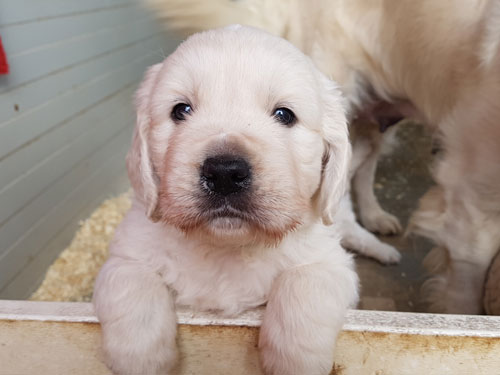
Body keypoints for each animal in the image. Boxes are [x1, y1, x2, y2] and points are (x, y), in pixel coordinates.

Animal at [93, 26, 360, 375]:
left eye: (284, 115)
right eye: (181, 110)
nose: (224, 173)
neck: (227, 248)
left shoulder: (331, 261)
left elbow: (303, 284)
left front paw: (293, 360)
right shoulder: (126, 253)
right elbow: (131, 284)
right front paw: (142, 360)